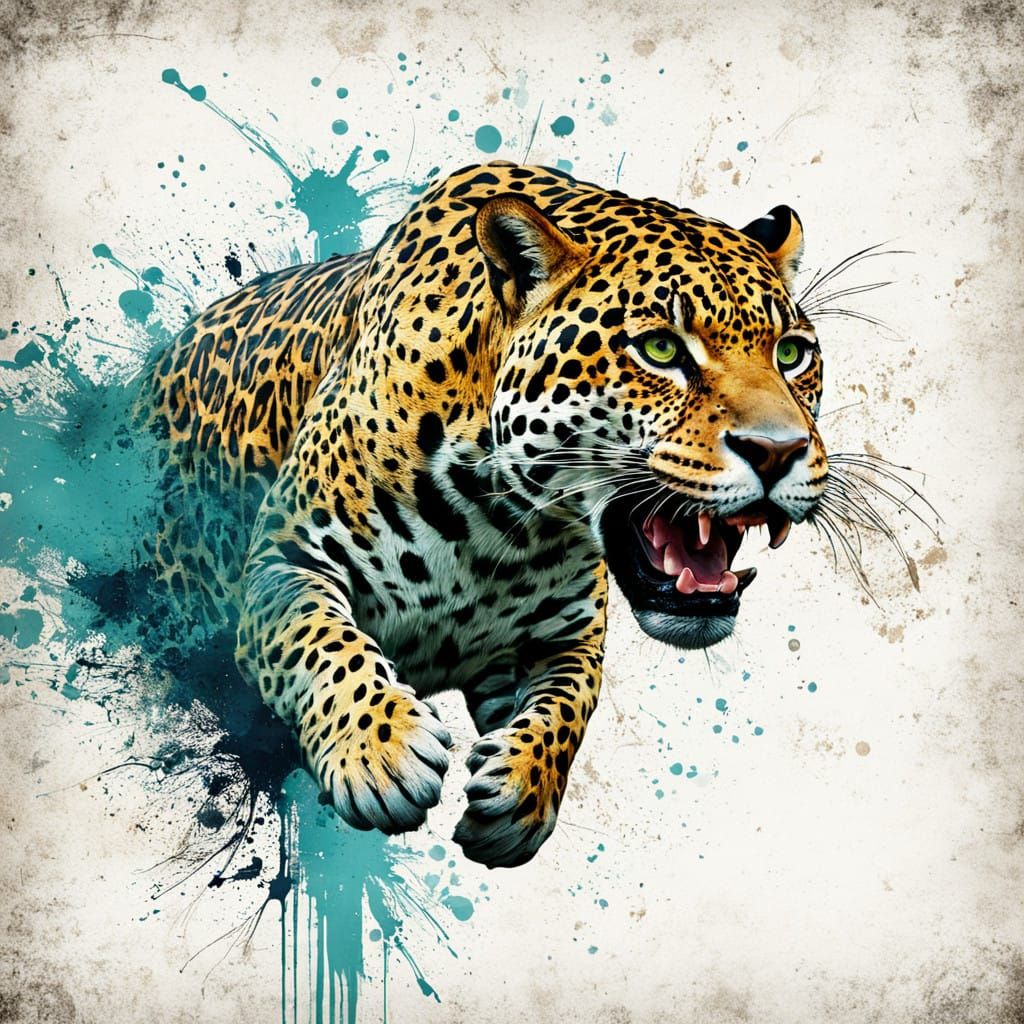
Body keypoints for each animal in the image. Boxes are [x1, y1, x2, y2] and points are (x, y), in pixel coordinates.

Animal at [141, 161, 827, 868]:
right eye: (661, 350)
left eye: (792, 354)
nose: (779, 450)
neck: (501, 528)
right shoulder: (286, 561)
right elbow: (323, 642)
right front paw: (379, 751)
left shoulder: (565, 636)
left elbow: (571, 704)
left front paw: (522, 792)